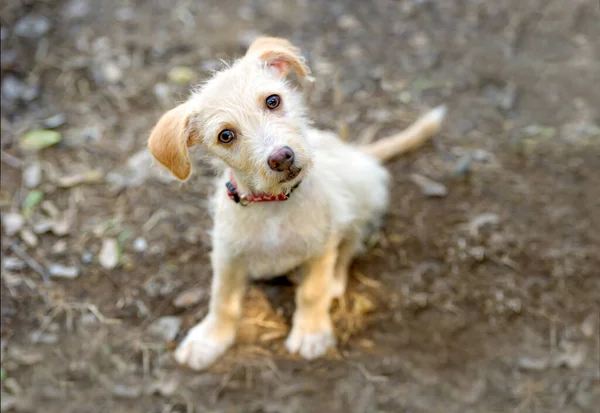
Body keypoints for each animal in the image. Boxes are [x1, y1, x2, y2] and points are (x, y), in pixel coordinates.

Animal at [146, 36, 446, 370]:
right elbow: (222, 300)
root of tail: (356, 152)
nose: (281, 157)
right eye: (225, 135)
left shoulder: (320, 246)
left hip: (361, 199)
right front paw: (209, 339)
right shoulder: (227, 254)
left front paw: (311, 333)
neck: (273, 204)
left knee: (349, 247)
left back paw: (335, 282)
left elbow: (313, 292)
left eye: (272, 101)